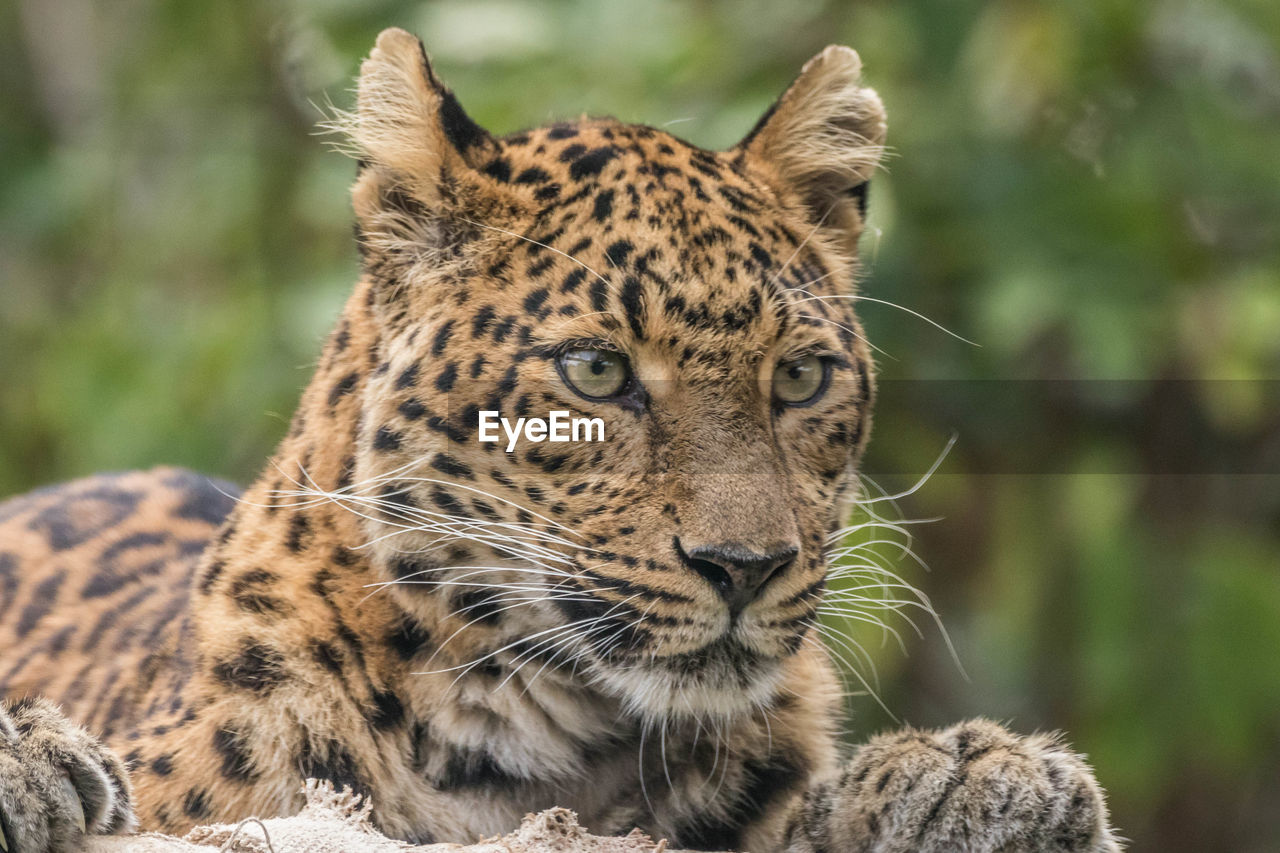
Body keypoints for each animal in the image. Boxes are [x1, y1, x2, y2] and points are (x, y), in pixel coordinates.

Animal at [0, 29, 1121, 850]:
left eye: (799, 378)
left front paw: (974, 776)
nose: (745, 566)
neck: (541, 751)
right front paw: (29, 763)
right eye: (595, 372)